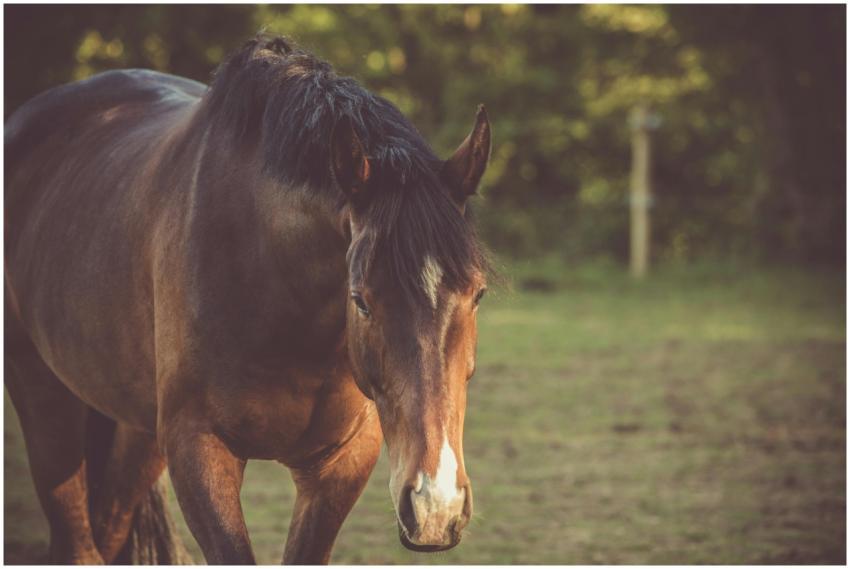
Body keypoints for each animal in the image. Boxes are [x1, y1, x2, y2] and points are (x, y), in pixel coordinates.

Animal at [5, 35, 491, 564]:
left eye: (478, 294)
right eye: (360, 300)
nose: (435, 506)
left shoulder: (341, 463)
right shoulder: (199, 451)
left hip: (137, 434)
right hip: (44, 396)